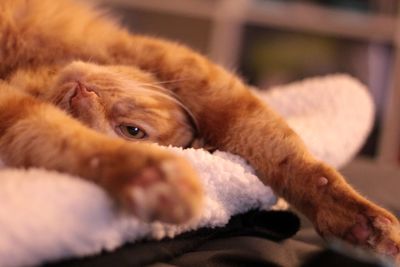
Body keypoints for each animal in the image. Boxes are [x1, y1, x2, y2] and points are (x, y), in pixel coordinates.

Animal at [0, 0, 398, 264]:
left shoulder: (182, 67)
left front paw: (351, 214)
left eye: (132, 130)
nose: (80, 93)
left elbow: (276, 144)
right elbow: (48, 129)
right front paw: (145, 172)